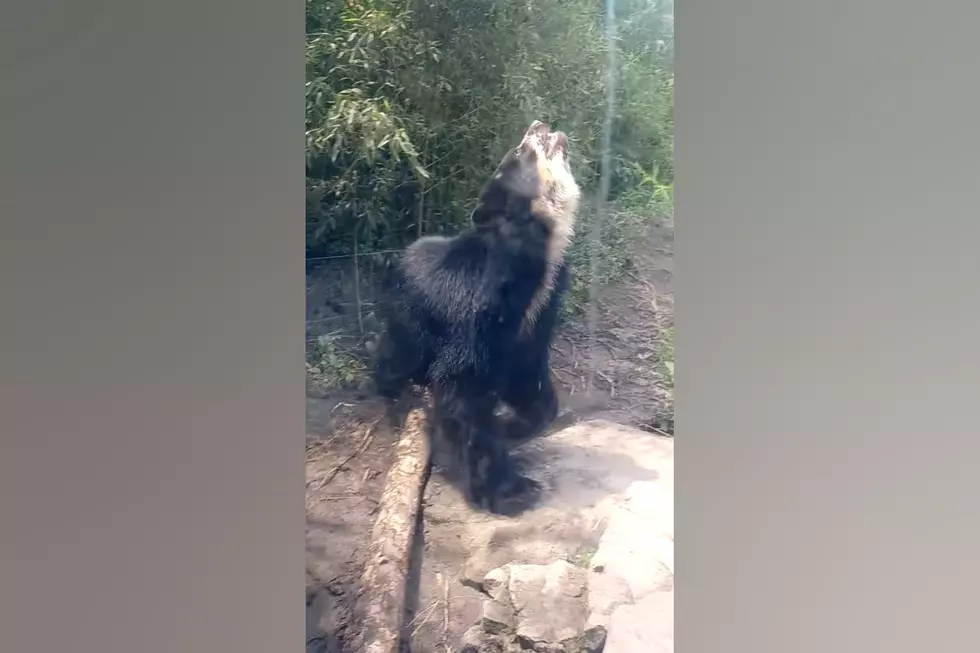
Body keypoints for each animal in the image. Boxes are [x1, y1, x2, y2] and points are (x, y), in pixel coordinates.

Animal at [372, 119, 580, 512]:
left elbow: (529, 380)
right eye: (522, 150)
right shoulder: (478, 312)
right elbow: (463, 388)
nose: (539, 123)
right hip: (409, 318)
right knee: (397, 357)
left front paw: (516, 428)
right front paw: (511, 493)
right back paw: (397, 392)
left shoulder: (534, 319)